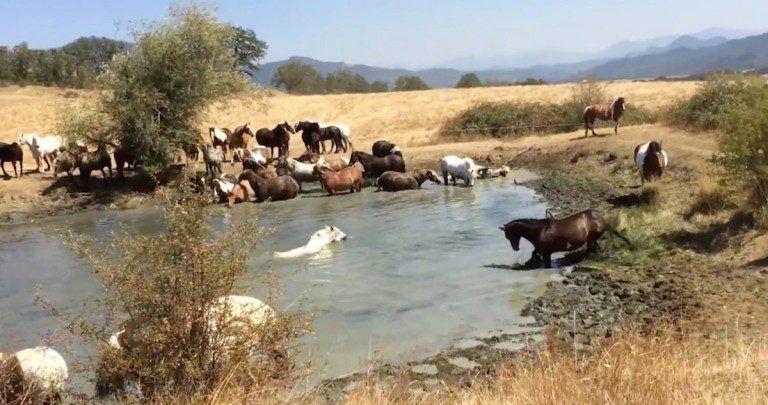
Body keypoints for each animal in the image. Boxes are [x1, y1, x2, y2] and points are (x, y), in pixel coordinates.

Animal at [500, 209, 631, 268]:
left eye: (509, 235)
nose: (515, 248)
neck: (540, 231)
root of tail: (603, 219)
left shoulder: (546, 254)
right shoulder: (540, 250)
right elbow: (533, 254)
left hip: (592, 238)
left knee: (591, 250)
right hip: (592, 240)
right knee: (593, 250)